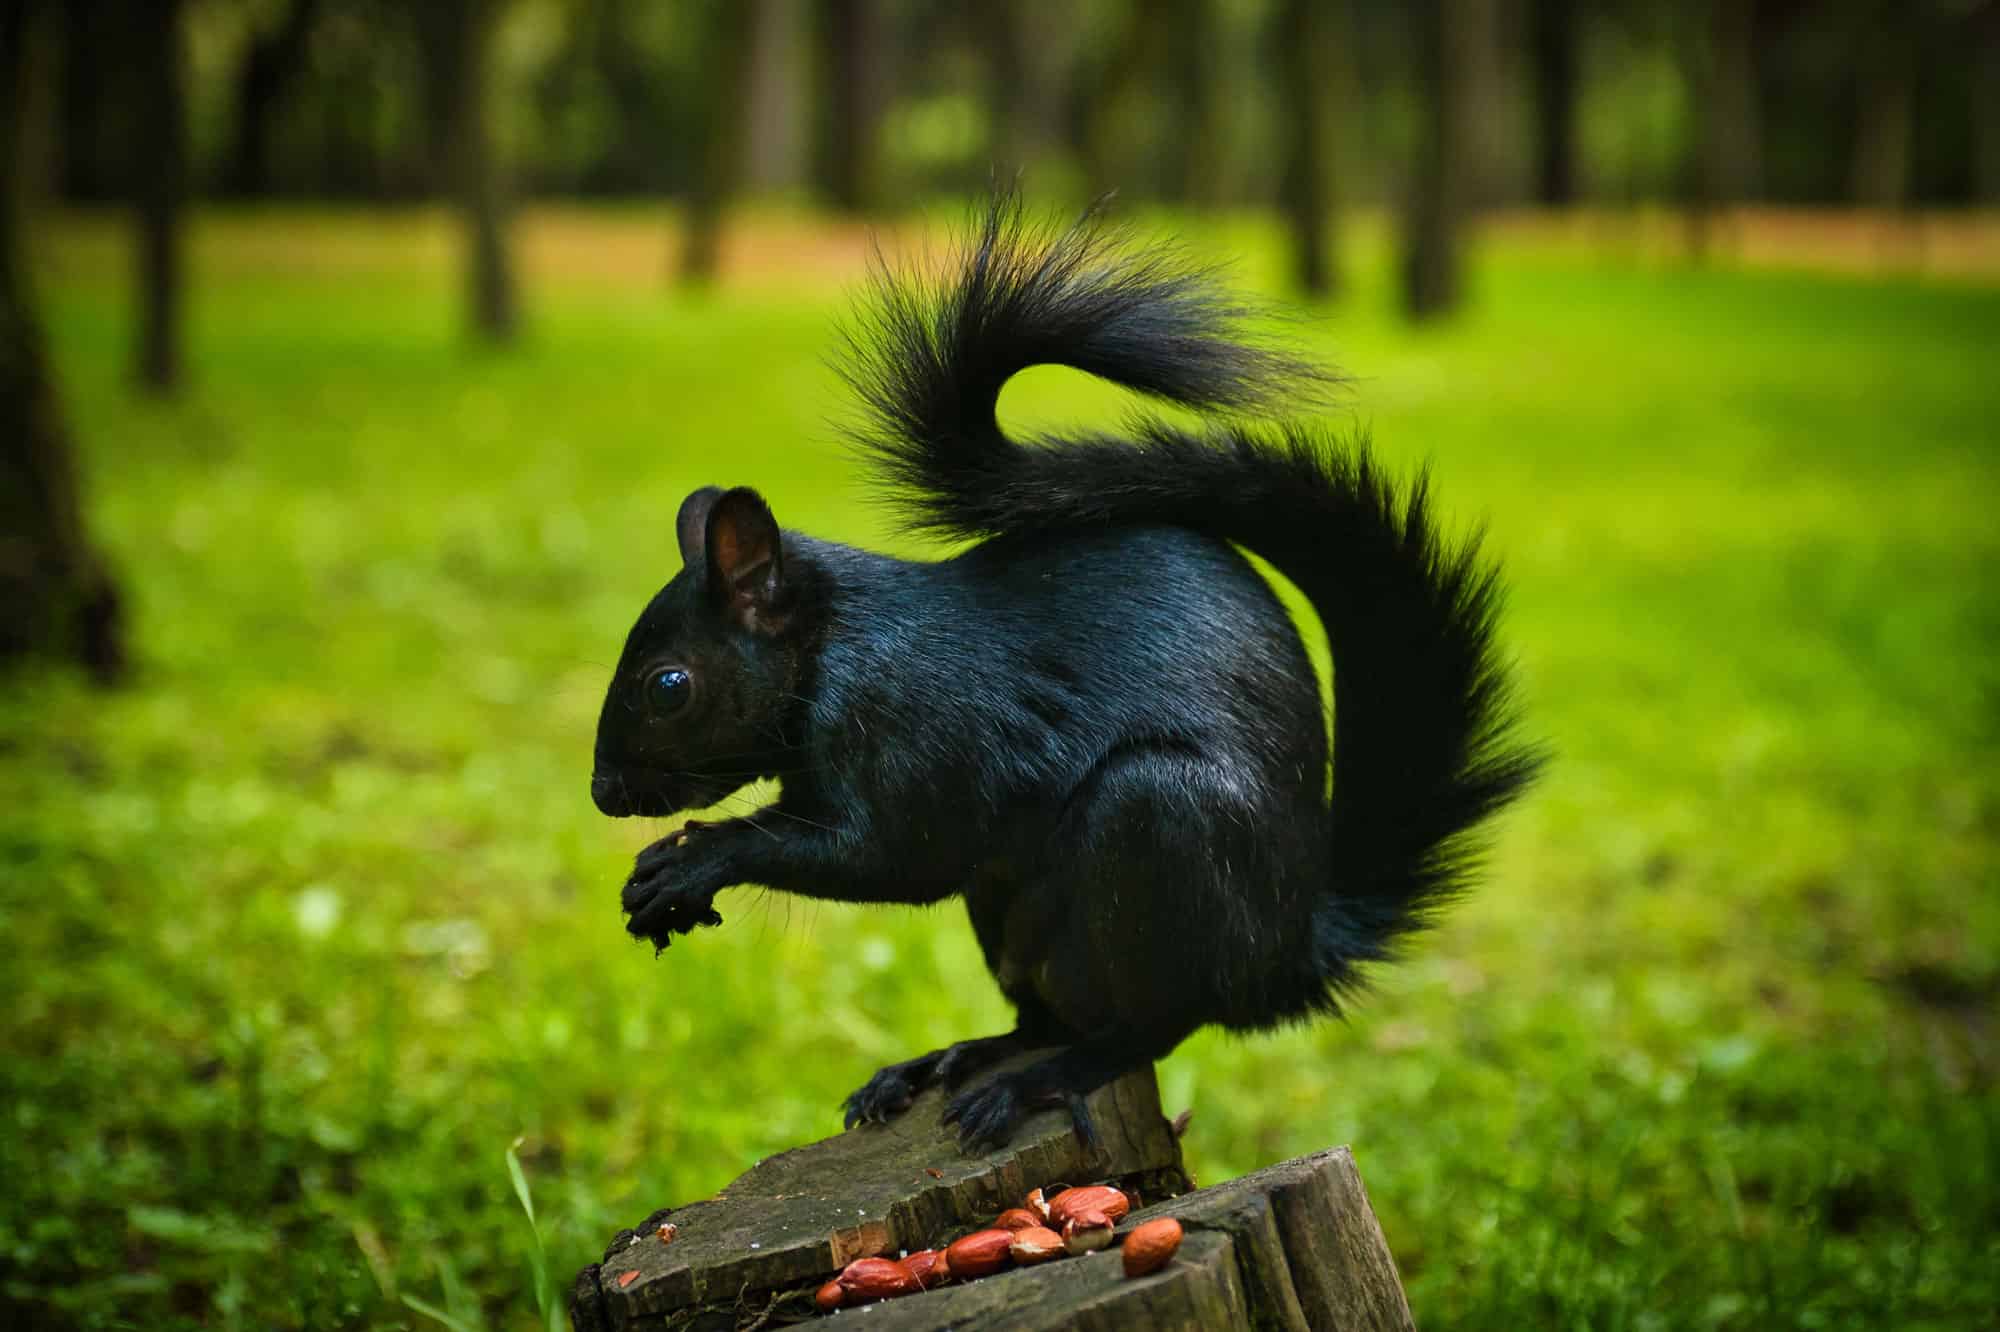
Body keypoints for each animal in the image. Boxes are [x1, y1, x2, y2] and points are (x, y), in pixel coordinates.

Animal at [590, 197, 1544, 1151]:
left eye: (668, 686)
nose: (604, 793)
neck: (834, 646)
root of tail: (1287, 951)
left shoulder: (917, 733)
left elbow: (889, 855)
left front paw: (696, 862)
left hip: (1157, 825)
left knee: (1151, 1022)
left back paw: (1042, 1080)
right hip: (1011, 914)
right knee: (1046, 1014)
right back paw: (948, 1061)